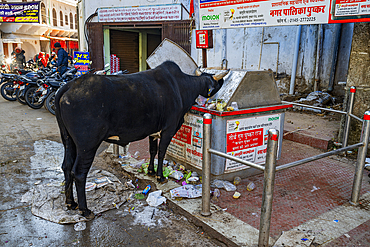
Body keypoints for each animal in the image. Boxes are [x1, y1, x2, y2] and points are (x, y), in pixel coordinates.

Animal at [55, 61, 228, 218]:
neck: (181, 87)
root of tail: (70, 85)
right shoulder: (169, 129)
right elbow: (161, 151)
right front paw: (160, 176)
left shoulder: (153, 131)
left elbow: (152, 150)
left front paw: (150, 171)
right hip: (87, 145)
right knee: (79, 172)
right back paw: (84, 210)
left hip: (68, 140)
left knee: (66, 166)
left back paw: (70, 202)